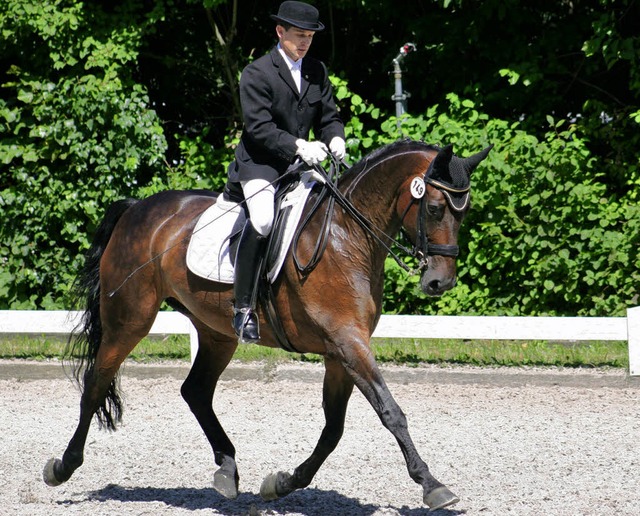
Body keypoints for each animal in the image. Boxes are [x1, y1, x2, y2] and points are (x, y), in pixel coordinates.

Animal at [45, 139, 492, 510]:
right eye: (434, 208)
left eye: (464, 212)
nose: (439, 282)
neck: (345, 236)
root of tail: (137, 208)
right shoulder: (347, 343)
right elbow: (390, 412)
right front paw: (433, 485)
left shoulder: (340, 352)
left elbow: (333, 429)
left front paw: (282, 483)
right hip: (129, 321)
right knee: (96, 383)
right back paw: (62, 467)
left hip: (216, 332)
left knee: (196, 391)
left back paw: (227, 471)